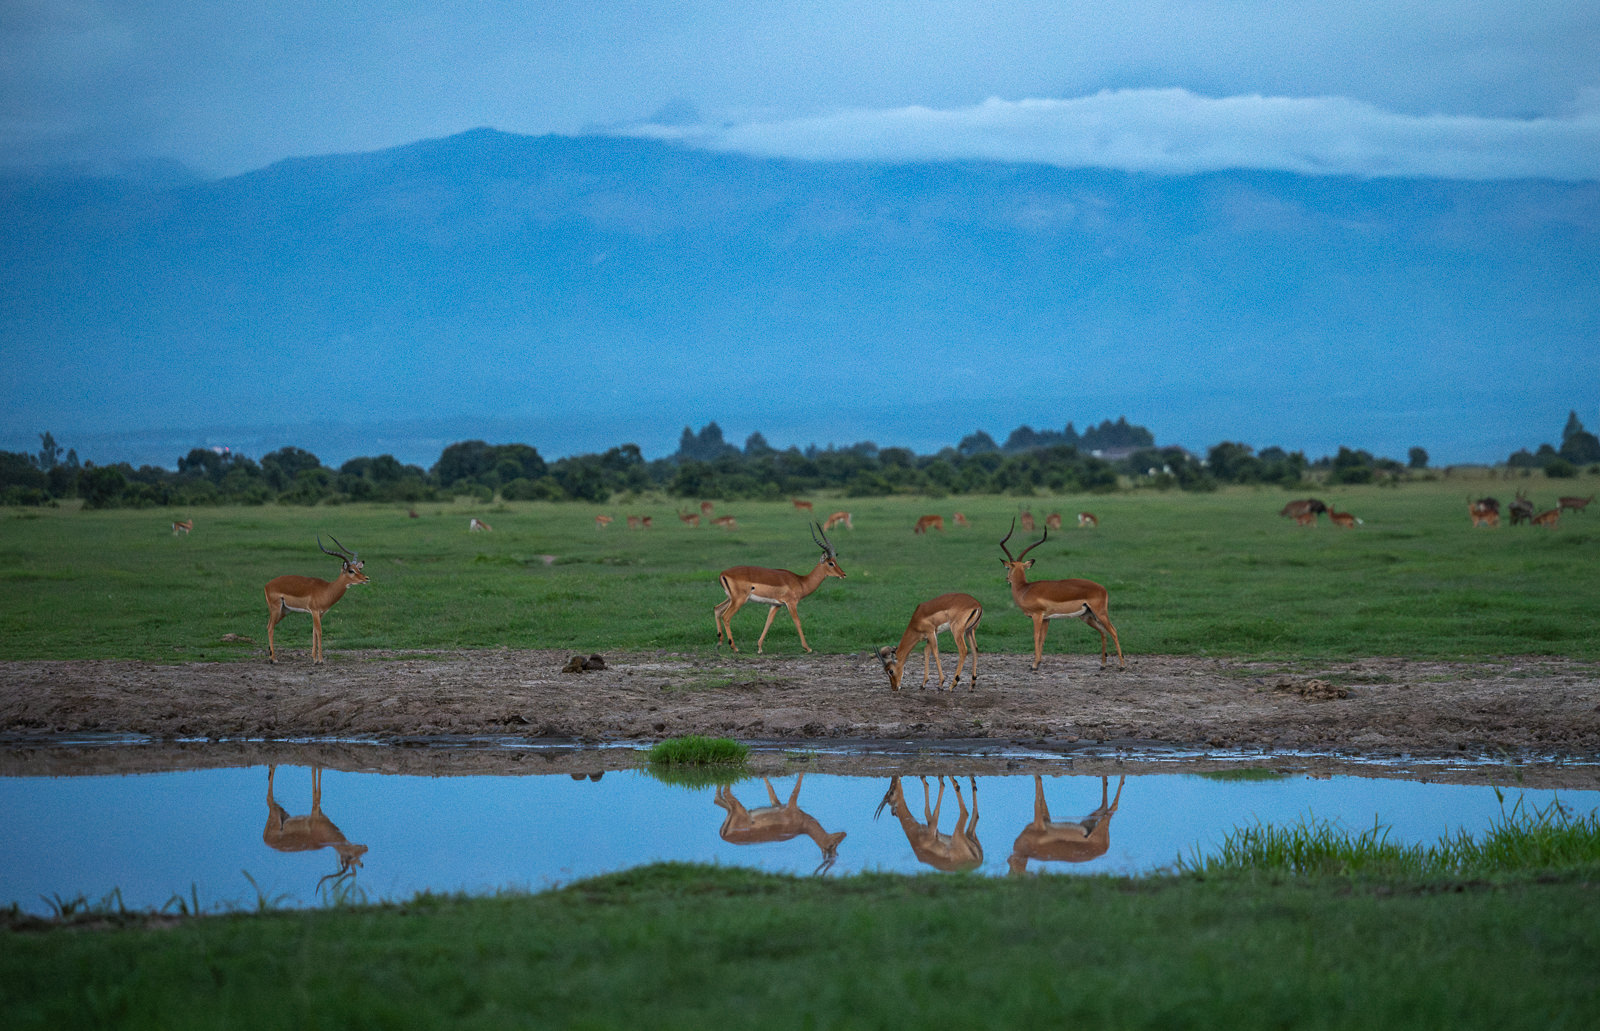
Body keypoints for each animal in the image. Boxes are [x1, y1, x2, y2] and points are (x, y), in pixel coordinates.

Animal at [264, 536, 369, 664]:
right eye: (351, 570)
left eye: (358, 569)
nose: (366, 578)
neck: (327, 590)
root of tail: (267, 585)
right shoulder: (314, 611)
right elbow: (319, 631)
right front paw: (320, 660)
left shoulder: (320, 613)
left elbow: (314, 631)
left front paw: (314, 658)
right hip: (276, 609)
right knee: (270, 627)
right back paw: (274, 659)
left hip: (284, 611)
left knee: (269, 625)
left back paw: (270, 655)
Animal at [713, 523, 844, 653]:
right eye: (830, 563)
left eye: (835, 561)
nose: (843, 574)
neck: (801, 581)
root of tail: (723, 573)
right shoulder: (791, 603)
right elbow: (797, 622)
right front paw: (807, 648)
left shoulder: (776, 605)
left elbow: (768, 622)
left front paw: (759, 647)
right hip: (739, 600)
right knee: (726, 616)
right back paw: (734, 647)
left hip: (731, 599)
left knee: (717, 609)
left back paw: (719, 643)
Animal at [714, 774, 846, 874]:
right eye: (832, 845)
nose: (844, 833)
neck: (803, 825)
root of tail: (723, 835)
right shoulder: (791, 805)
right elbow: (797, 788)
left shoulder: (777, 804)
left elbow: (770, 789)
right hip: (737, 809)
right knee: (725, 792)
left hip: (730, 809)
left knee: (717, 799)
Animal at [999, 520, 1124, 672]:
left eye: (1008, 567)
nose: (1007, 579)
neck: (1025, 589)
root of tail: (1103, 588)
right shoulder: (1046, 619)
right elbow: (1042, 639)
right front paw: (1038, 662)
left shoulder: (1037, 615)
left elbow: (1036, 636)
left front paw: (1033, 665)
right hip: (1087, 616)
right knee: (1103, 632)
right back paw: (1102, 665)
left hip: (1100, 613)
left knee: (1113, 630)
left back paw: (1122, 666)